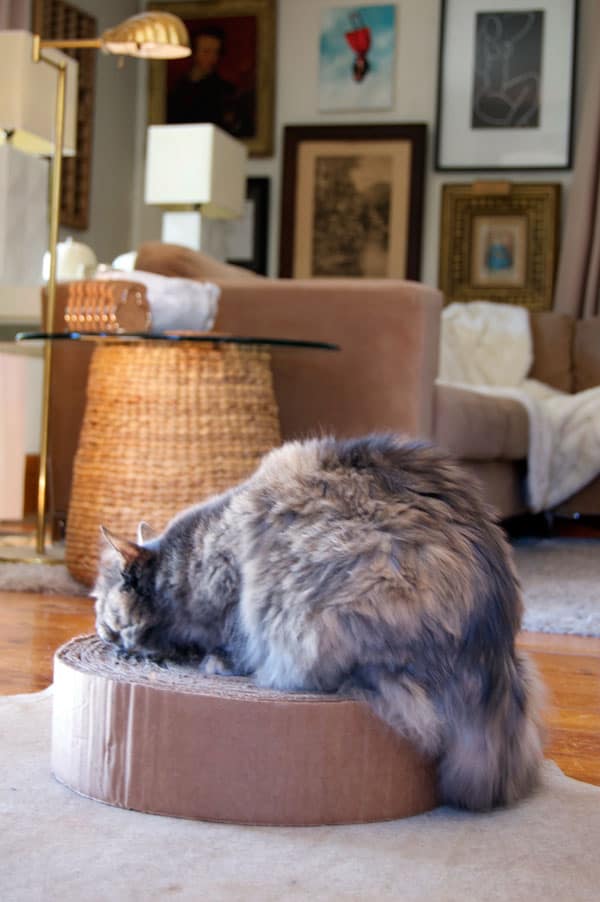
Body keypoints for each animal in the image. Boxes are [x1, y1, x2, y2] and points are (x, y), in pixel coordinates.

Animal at [92, 434, 544, 816]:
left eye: (101, 608)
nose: (100, 633)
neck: (181, 565)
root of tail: (490, 653)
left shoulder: (233, 589)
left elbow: (231, 639)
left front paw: (213, 660)